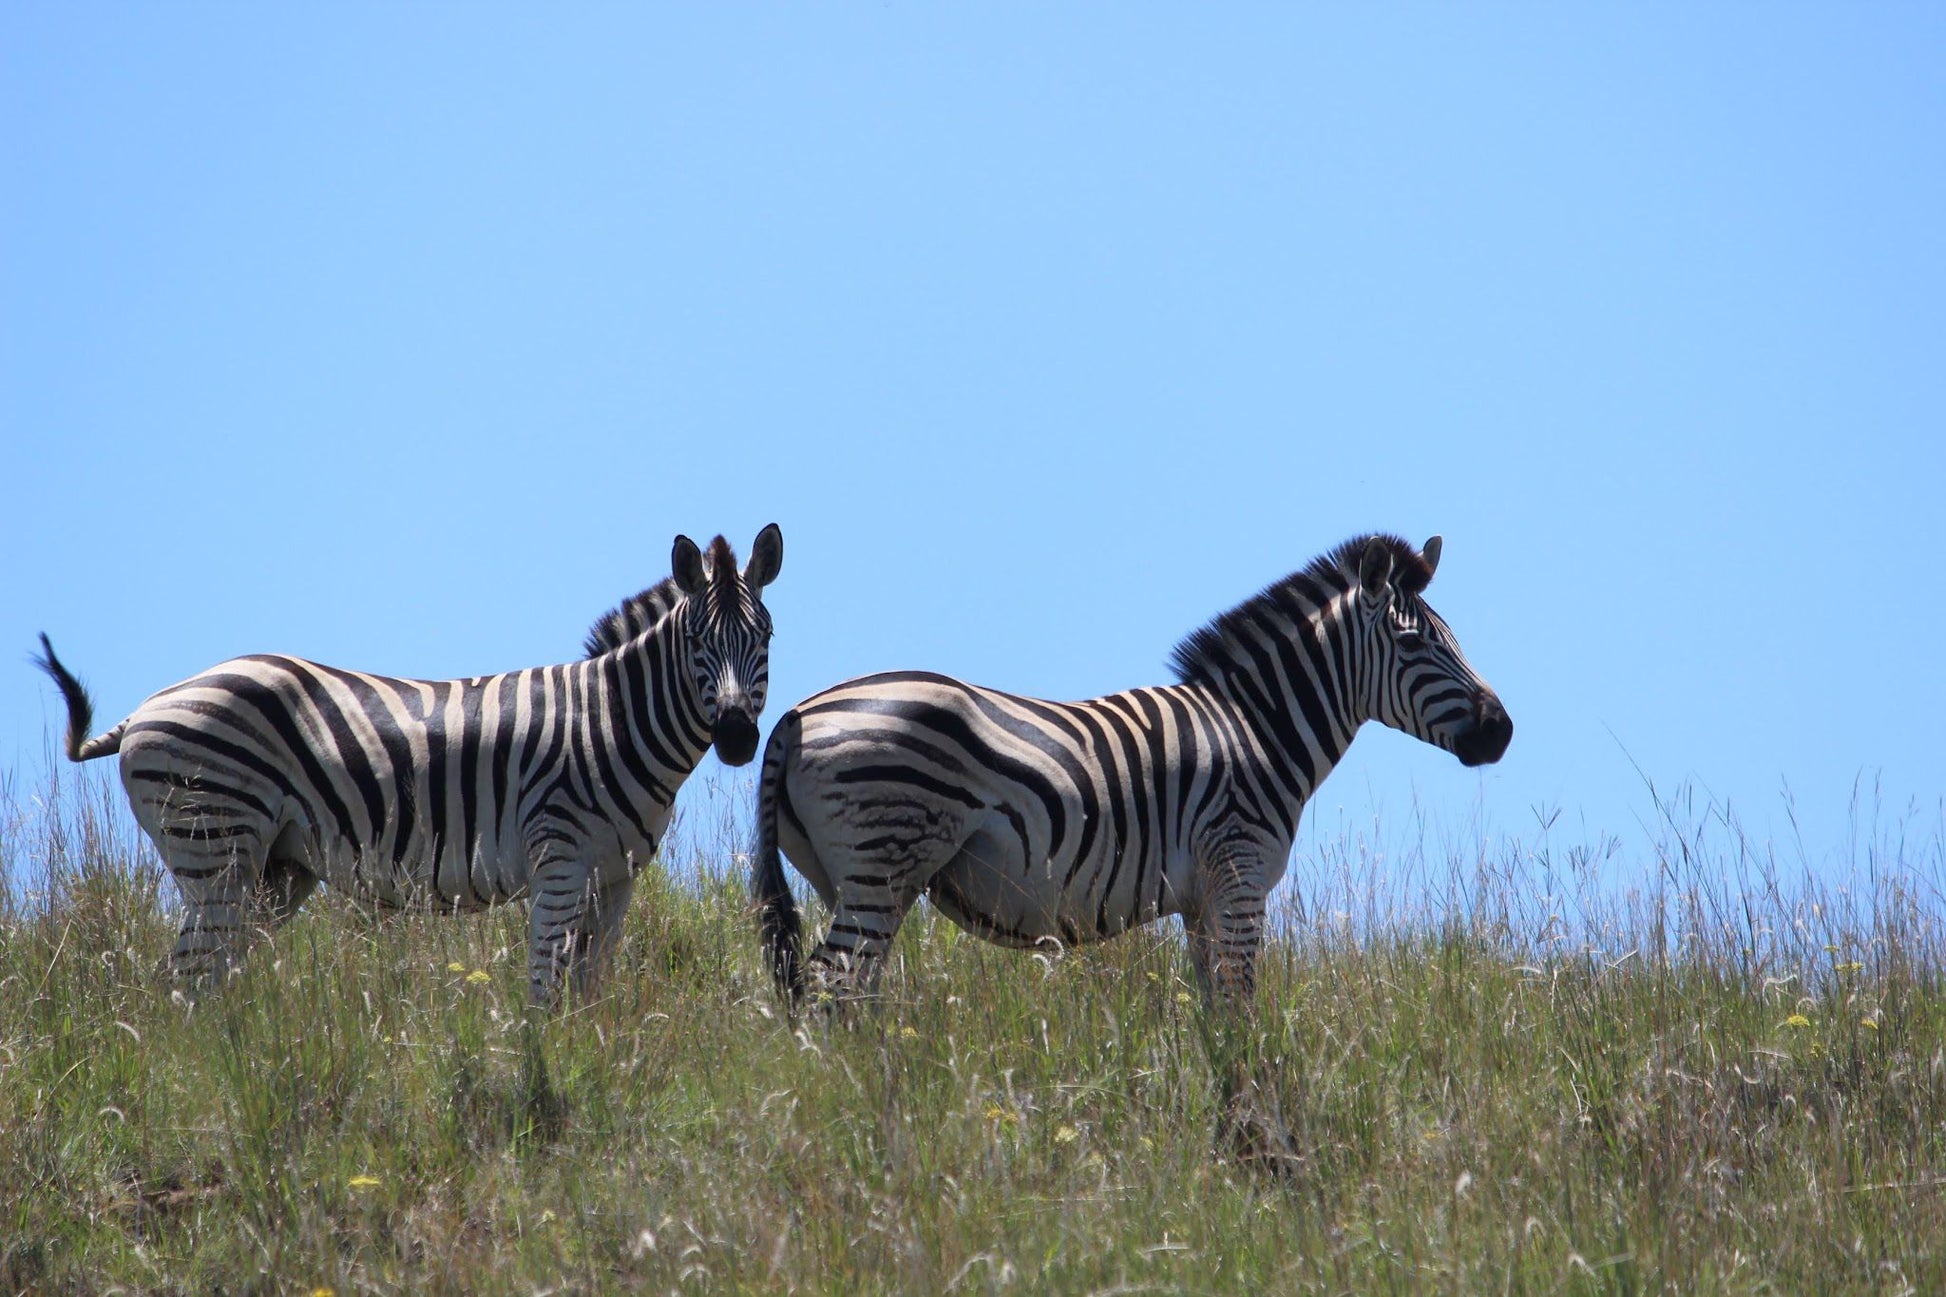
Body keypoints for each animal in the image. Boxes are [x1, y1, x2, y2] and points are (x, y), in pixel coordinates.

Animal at [28, 521, 774, 997]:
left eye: (764, 637)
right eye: (697, 642)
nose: (740, 737)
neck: (612, 722)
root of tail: (145, 709)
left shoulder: (616, 878)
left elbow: (589, 994)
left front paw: (587, 1068)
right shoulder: (560, 863)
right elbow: (546, 991)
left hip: (271, 869)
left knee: (213, 979)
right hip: (214, 843)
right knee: (189, 983)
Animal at [751, 529, 1510, 1004]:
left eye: (1453, 638)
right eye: (1415, 645)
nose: (1501, 730)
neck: (1257, 729)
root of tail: (794, 715)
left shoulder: (1203, 900)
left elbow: (1217, 1021)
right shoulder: (1239, 880)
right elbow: (1243, 1017)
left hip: (847, 877)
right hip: (882, 860)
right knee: (831, 988)